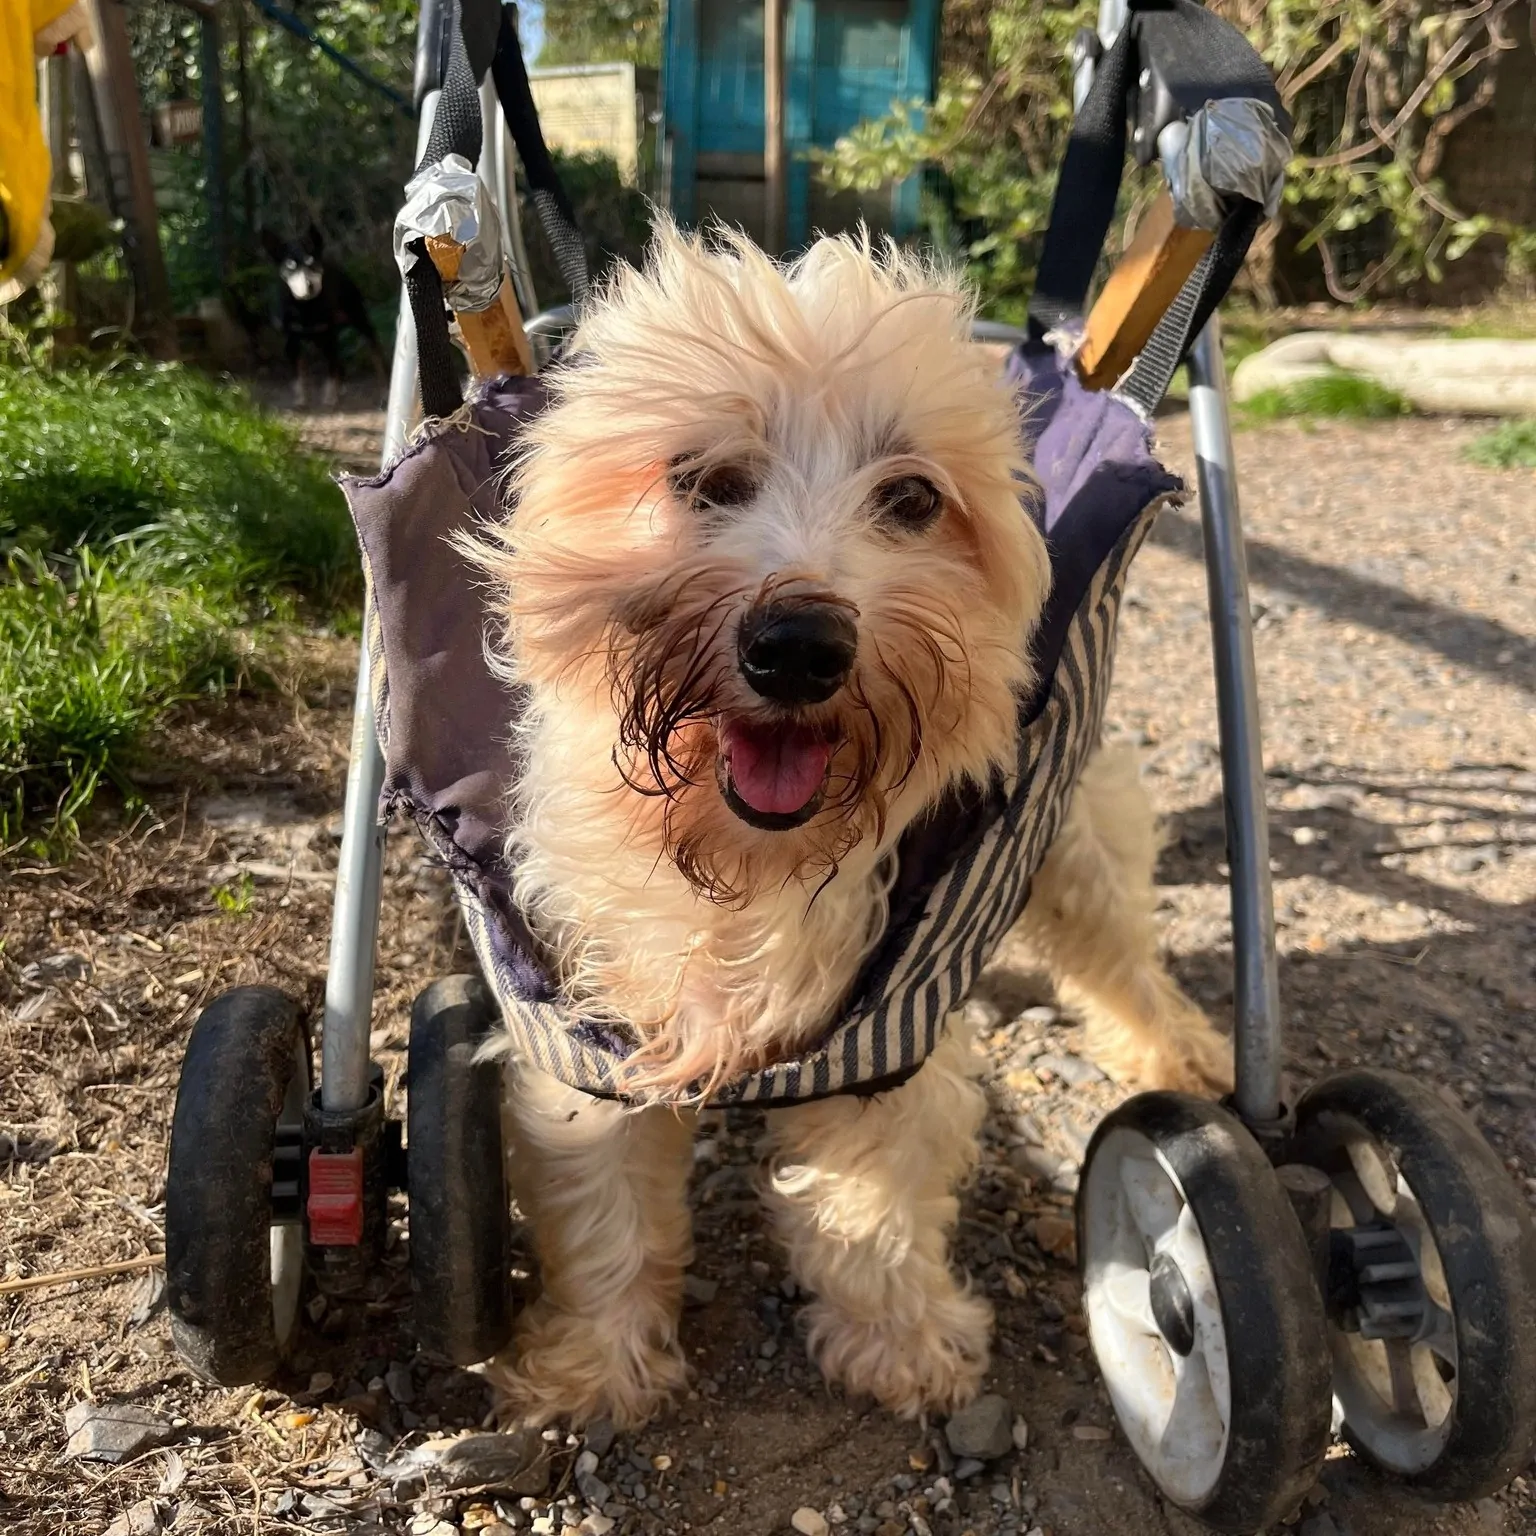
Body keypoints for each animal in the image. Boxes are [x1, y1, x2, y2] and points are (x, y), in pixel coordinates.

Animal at [264, 225, 384, 408]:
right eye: (290, 266)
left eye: (311, 261)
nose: (310, 285)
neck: (305, 307)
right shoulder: (292, 340)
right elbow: (300, 370)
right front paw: (301, 398)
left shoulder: (328, 336)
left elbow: (331, 369)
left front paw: (330, 397)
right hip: (321, 338)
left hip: (358, 318)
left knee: (374, 351)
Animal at [466, 222, 1222, 1431]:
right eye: (705, 479)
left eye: (911, 497)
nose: (800, 643)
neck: (749, 872)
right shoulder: (588, 1040)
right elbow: (602, 1214)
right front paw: (591, 1368)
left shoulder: (888, 1034)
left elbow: (870, 1212)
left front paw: (903, 1343)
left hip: (1077, 841)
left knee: (1121, 953)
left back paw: (1177, 1047)